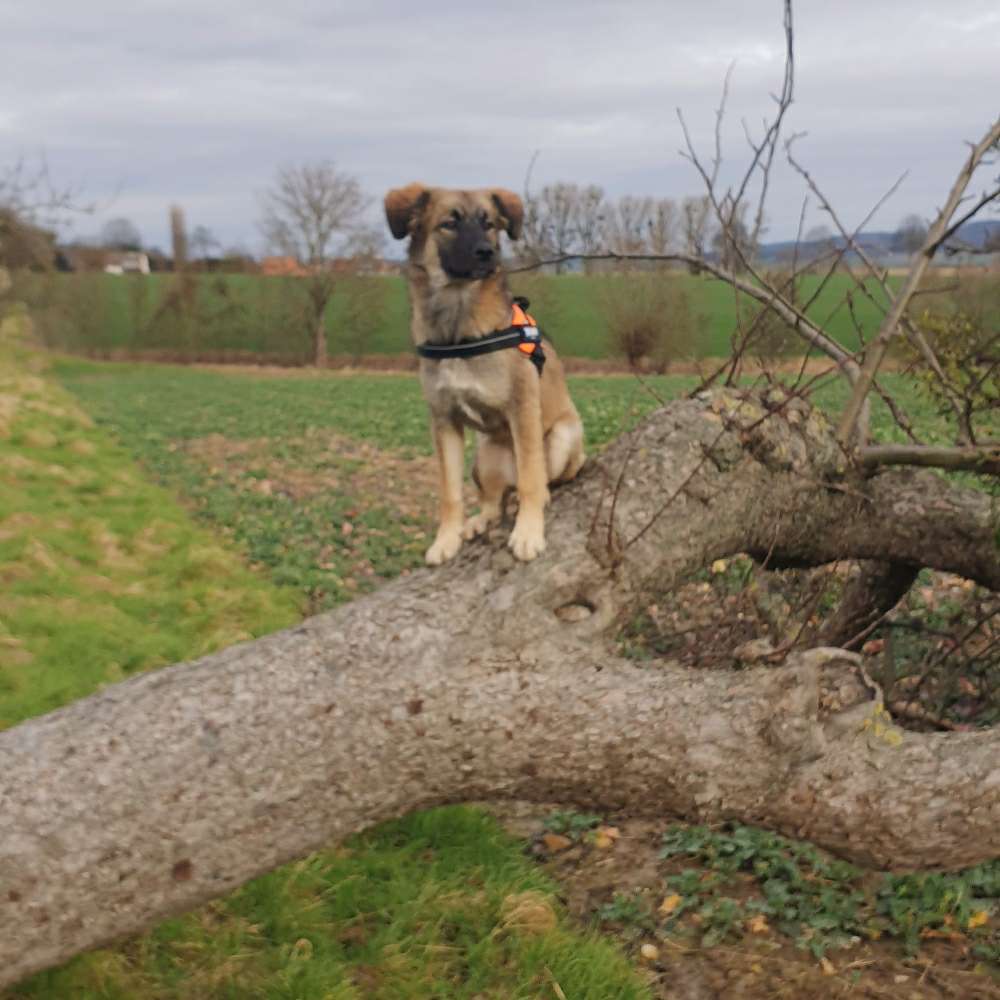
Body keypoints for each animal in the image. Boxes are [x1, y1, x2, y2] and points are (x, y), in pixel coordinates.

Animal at [382, 185, 584, 568]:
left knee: (541, 482)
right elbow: (449, 492)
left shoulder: (523, 409)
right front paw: (445, 539)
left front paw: (529, 532)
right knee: (494, 501)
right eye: (449, 224)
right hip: (484, 455)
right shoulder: (443, 420)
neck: (458, 331)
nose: (486, 253)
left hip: (564, 435)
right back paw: (480, 520)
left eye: (489, 224)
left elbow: (533, 478)